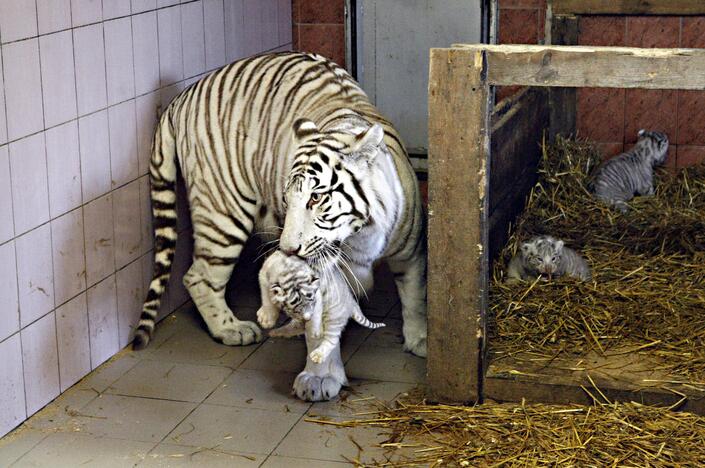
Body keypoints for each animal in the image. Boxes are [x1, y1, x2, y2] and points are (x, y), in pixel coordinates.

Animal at [135, 52, 426, 402]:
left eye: (316, 198)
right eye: (288, 199)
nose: (289, 249)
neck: (360, 236)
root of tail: (182, 97)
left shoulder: (411, 249)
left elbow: (415, 295)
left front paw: (421, 341)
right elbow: (319, 327)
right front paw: (318, 378)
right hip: (223, 211)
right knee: (199, 276)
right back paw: (231, 328)